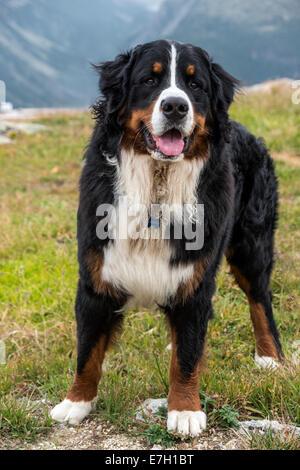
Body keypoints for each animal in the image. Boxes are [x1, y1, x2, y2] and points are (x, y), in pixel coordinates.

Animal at [50, 40, 282, 436]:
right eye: (149, 79)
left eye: (195, 84)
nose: (175, 106)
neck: (157, 188)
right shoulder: (96, 279)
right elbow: (87, 351)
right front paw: (75, 403)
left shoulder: (195, 283)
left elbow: (186, 357)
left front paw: (185, 410)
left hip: (252, 244)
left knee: (260, 299)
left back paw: (270, 358)